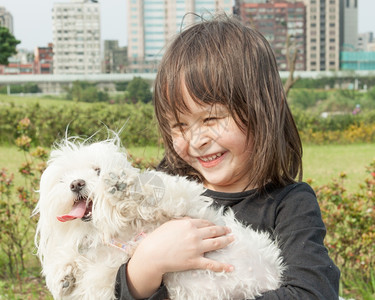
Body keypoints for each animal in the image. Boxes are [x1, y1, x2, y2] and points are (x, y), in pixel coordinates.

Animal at [34, 137, 284, 300]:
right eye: (63, 179)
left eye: (97, 170)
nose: (76, 183)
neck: (123, 231)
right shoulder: (103, 277)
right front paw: (65, 274)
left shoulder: (190, 207)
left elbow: (152, 194)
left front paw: (123, 187)